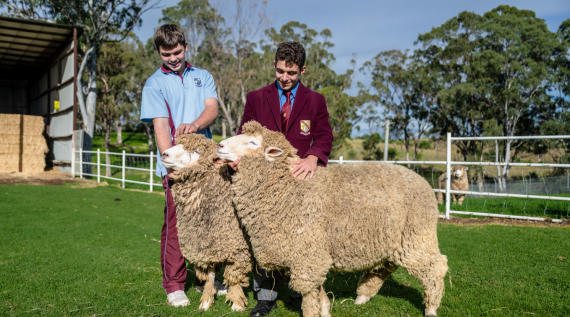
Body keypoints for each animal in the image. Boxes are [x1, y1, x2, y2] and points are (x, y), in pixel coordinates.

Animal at [159, 133, 250, 312]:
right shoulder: (205, 248)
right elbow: (209, 277)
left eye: (196, 151)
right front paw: (206, 303)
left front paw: (237, 304)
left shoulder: (237, 247)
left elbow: (234, 277)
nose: (164, 154)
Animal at [216, 121, 448, 316]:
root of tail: (422, 181)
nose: (219, 145)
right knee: (386, 266)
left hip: (416, 236)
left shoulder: (308, 253)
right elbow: (319, 292)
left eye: (253, 142)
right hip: (392, 239)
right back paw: (363, 296)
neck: (288, 188)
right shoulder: (314, 254)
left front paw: (314, 311)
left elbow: (309, 296)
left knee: (435, 267)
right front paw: (326, 308)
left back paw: (431, 308)